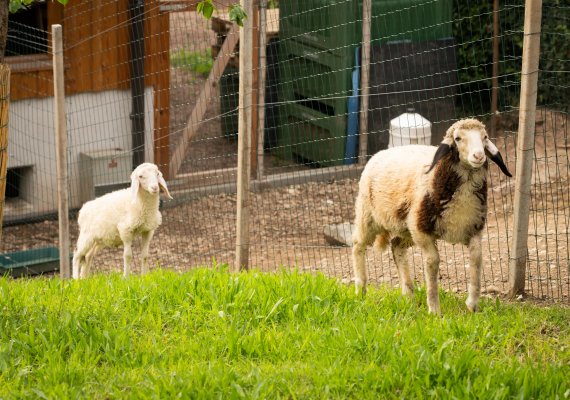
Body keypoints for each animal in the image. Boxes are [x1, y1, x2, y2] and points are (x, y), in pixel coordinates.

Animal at [352, 118, 512, 314]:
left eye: (485, 137)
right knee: (358, 245)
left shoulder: (473, 229)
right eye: (457, 138)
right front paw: (434, 309)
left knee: (396, 246)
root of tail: (380, 153)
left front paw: (472, 305)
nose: (478, 156)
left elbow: (476, 259)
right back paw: (361, 290)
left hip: (406, 227)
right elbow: (433, 263)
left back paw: (408, 295)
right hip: (369, 216)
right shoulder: (423, 232)